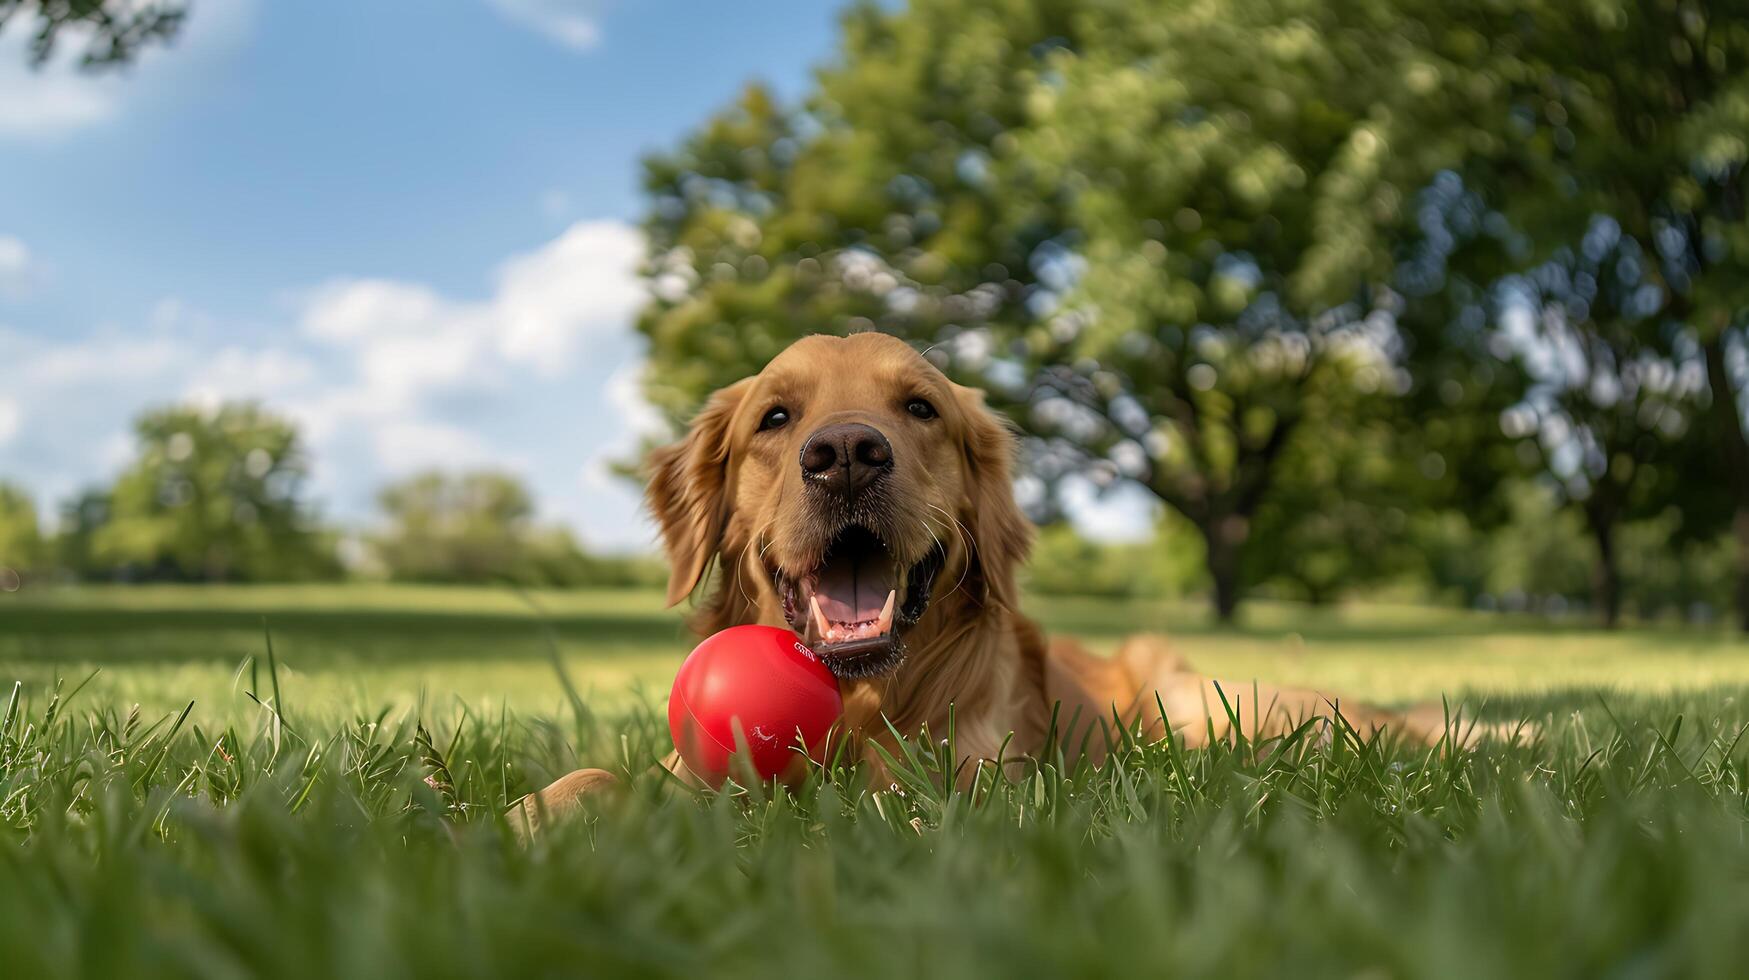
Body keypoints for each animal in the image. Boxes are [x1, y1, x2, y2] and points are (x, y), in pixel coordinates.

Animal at [517, 330, 1476, 826]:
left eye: (920, 408)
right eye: (775, 418)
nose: (846, 454)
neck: (861, 700)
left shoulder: (977, 778)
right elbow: (600, 778)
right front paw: (530, 815)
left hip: (1205, 709)